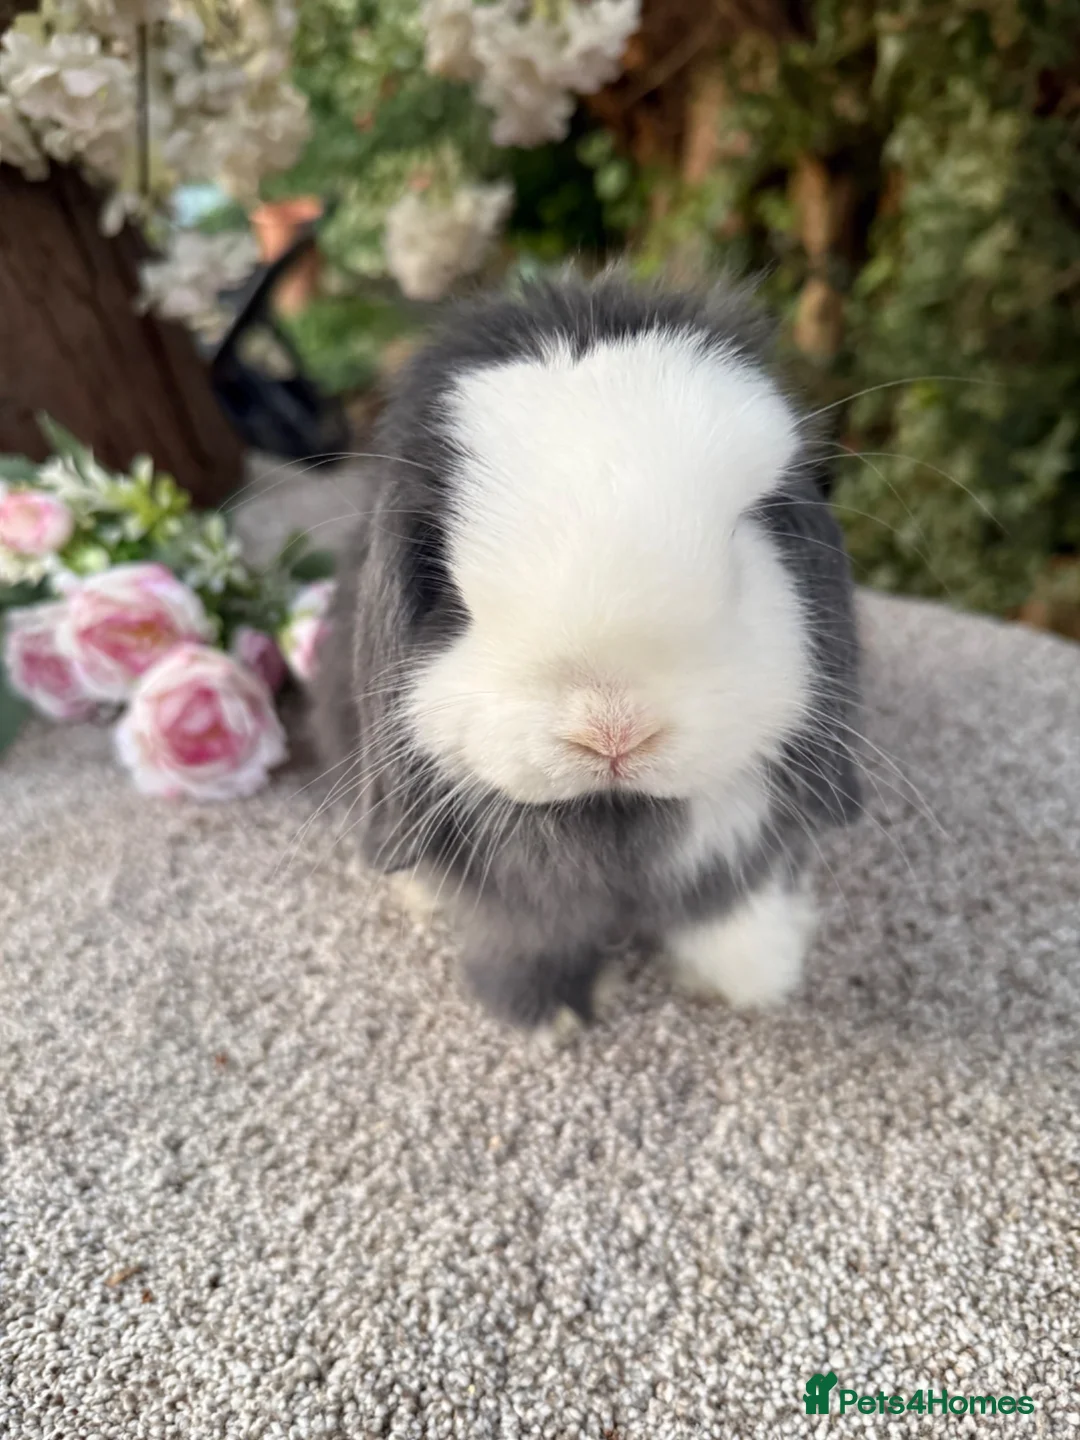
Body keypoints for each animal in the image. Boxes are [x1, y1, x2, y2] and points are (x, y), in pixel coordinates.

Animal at [311, 272, 862, 1030]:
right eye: (451, 587)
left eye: (742, 542)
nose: (613, 731)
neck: (614, 815)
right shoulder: (513, 897)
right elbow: (530, 934)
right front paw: (553, 1017)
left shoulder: (738, 841)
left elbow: (727, 903)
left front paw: (749, 980)